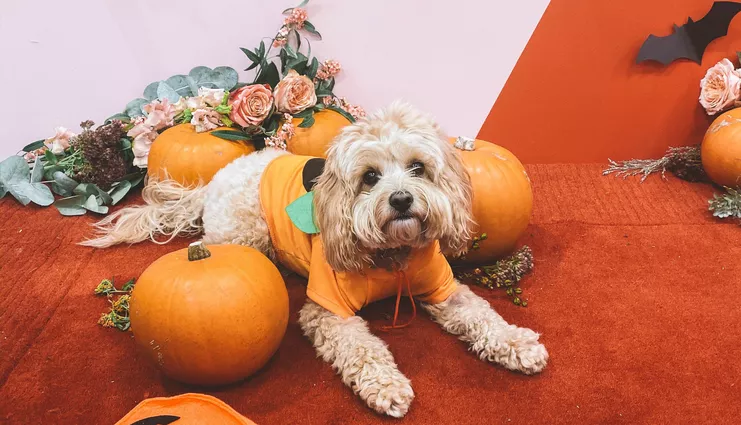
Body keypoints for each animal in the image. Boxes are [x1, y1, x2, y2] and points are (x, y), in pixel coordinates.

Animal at [84, 101, 548, 416]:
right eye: (370, 177)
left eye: (418, 167)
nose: (400, 199)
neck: (391, 256)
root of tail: (218, 178)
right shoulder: (327, 311)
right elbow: (362, 349)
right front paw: (387, 386)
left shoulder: (443, 287)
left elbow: (483, 316)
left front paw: (518, 344)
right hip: (246, 234)